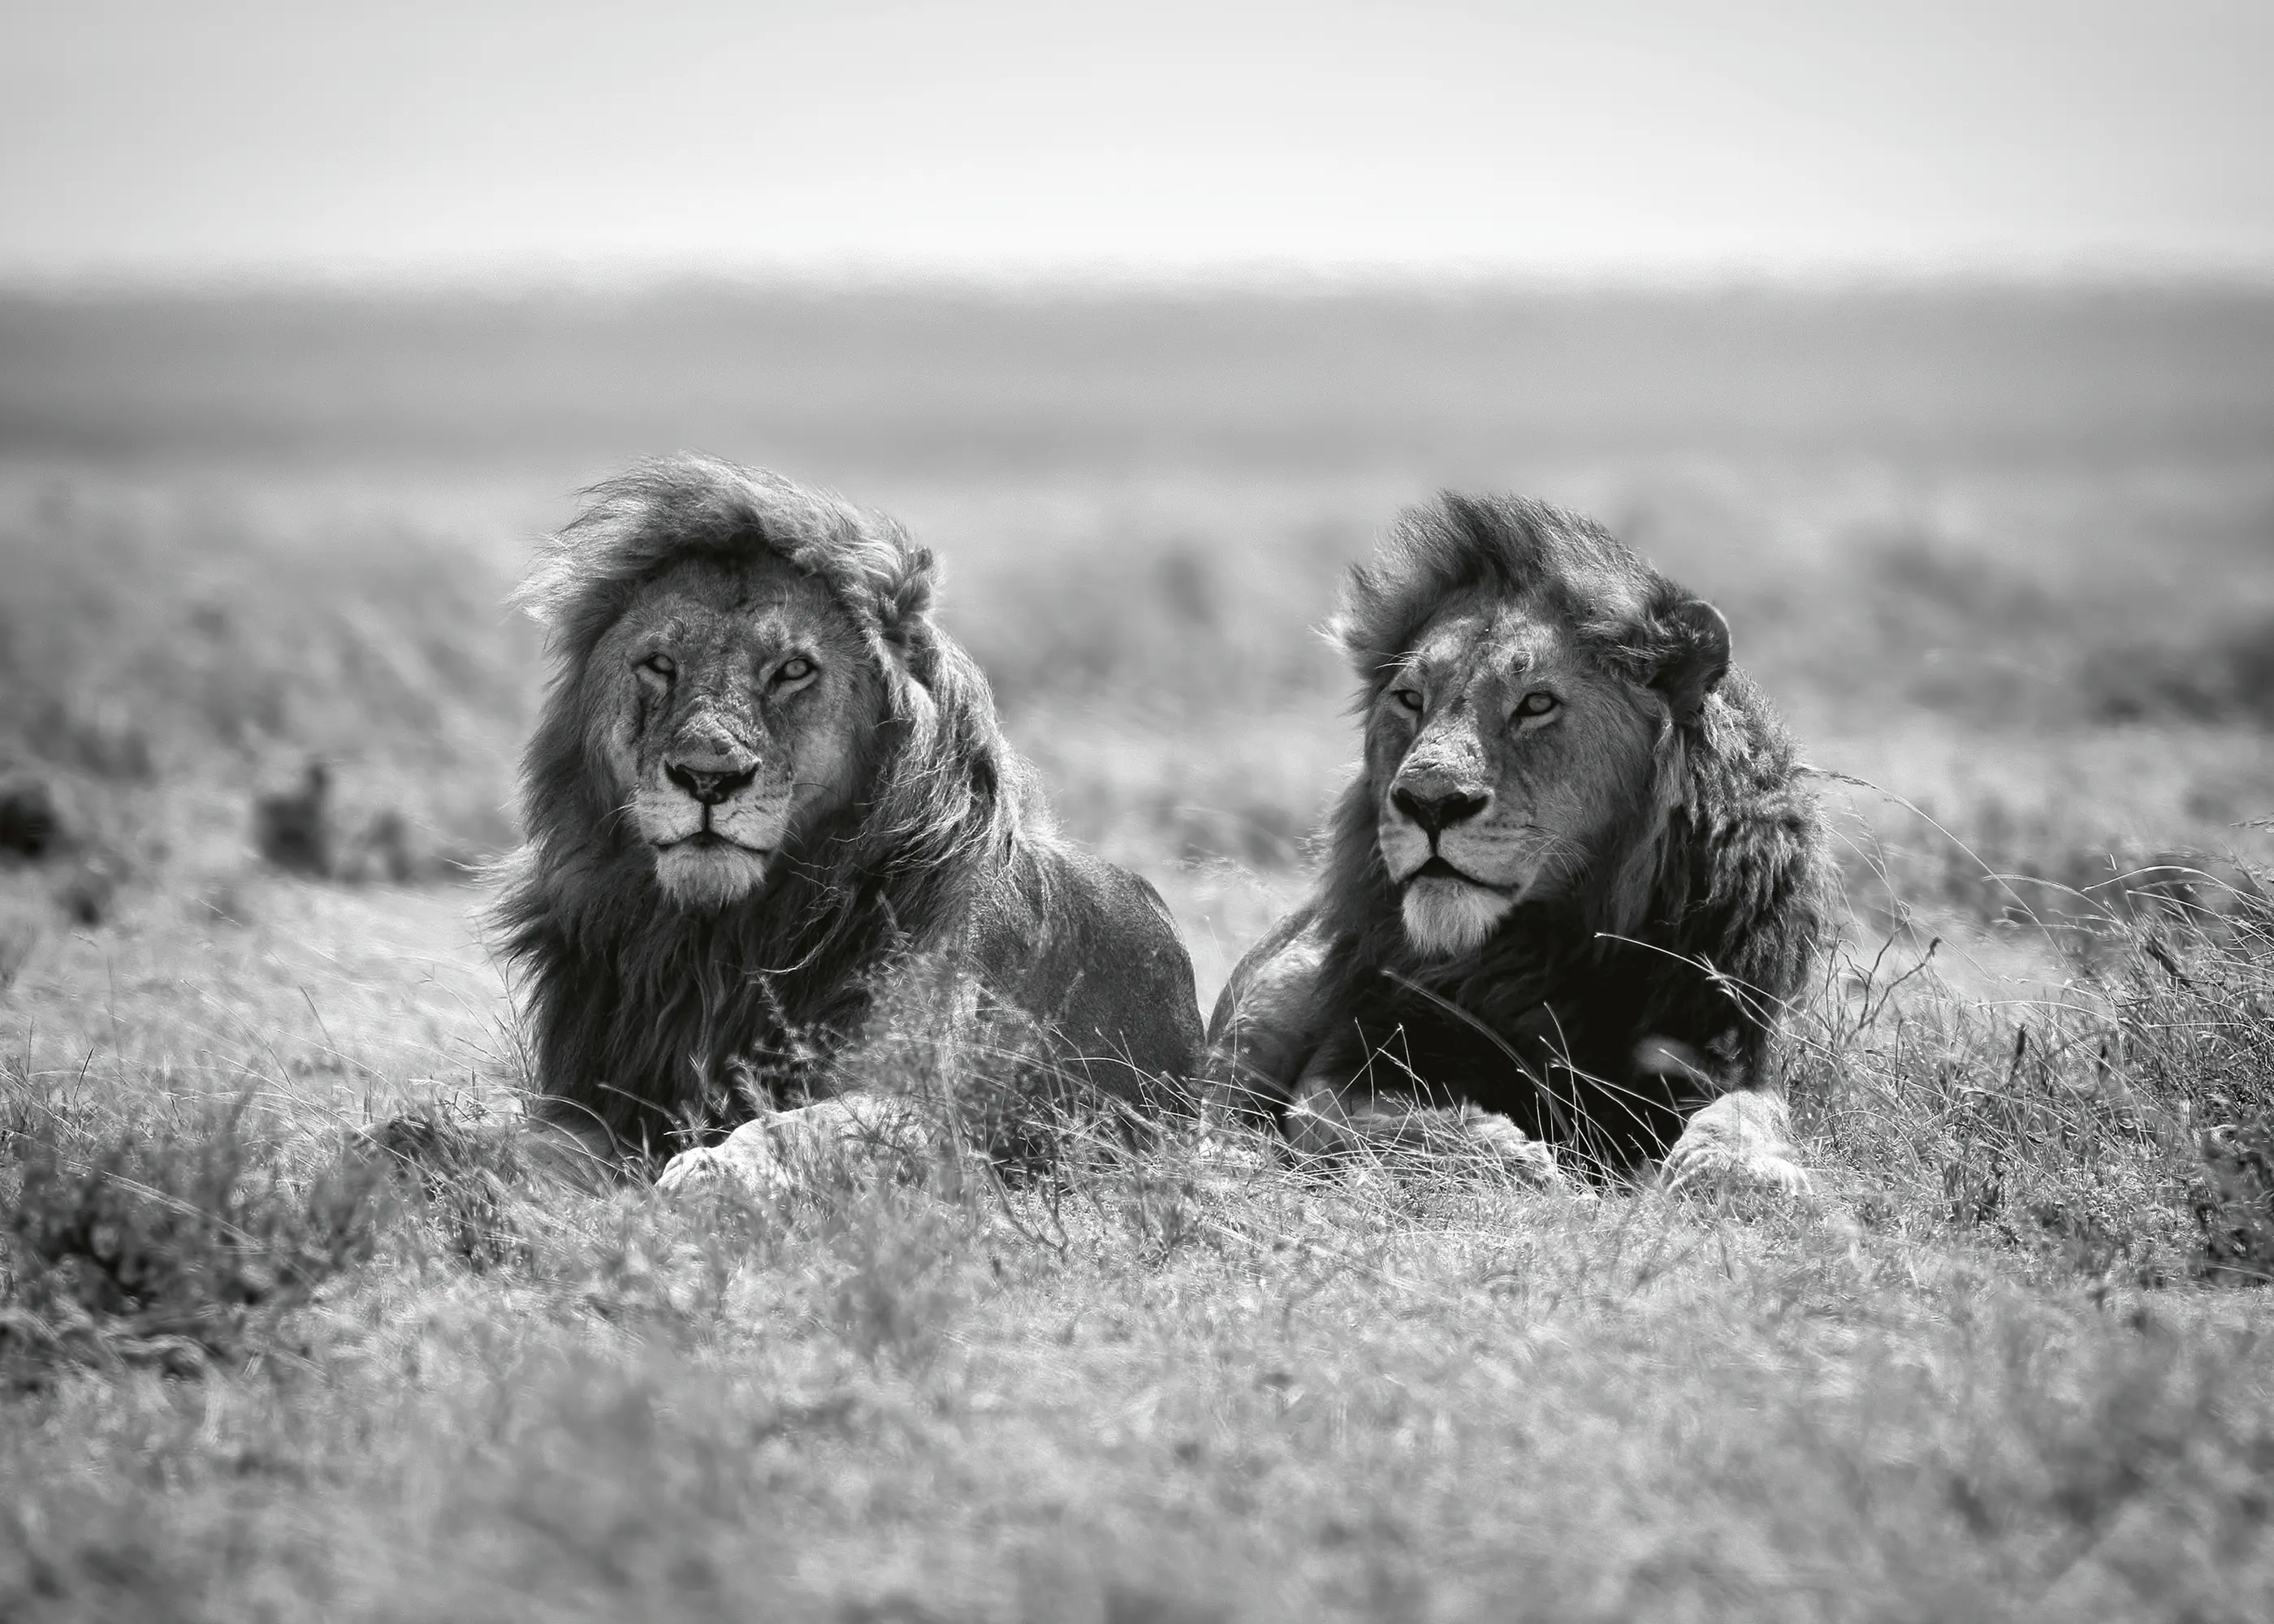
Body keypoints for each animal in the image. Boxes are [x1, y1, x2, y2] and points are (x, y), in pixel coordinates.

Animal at [492, 455, 1205, 1189]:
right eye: (660, 664)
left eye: (793, 670)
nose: (707, 777)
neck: (722, 940)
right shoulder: (589, 1099)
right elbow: (518, 1146)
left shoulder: (925, 1110)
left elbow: (793, 1129)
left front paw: (711, 1172)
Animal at [1206, 493, 1831, 1193]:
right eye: (1410, 699)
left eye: (1536, 704)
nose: (1429, 801)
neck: (1553, 947)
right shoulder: (1360, 1048)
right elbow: (1345, 1115)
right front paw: (1514, 1156)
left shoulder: (1732, 1039)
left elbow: (1751, 1110)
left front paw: (1734, 1170)